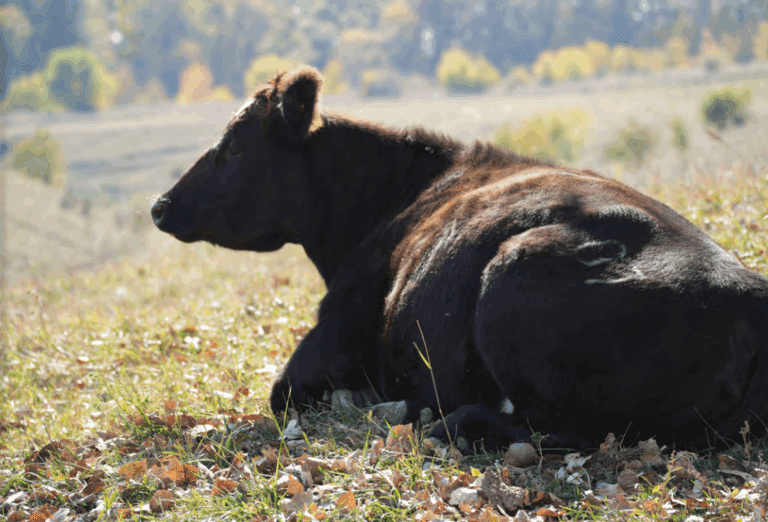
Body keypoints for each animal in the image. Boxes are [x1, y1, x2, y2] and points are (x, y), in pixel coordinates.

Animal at [152, 67, 768, 452]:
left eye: (234, 145)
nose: (161, 206)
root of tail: (746, 290)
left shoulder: (326, 342)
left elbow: (284, 393)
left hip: (514, 274)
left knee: (561, 429)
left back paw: (438, 421)